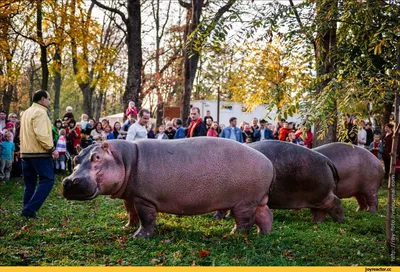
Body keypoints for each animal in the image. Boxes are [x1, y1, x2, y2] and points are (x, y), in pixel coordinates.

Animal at [62, 138, 276, 238]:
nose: (69, 182)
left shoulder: (144, 199)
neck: (125, 159)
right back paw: (263, 234)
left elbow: (146, 219)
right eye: (76, 158)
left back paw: (232, 234)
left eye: (96, 157)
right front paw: (127, 226)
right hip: (256, 201)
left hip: (244, 203)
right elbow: (131, 212)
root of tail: (268, 162)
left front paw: (138, 236)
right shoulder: (130, 196)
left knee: (245, 222)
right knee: (266, 216)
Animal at [217, 140, 346, 223]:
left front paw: (217, 217)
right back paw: (315, 223)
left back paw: (340, 221)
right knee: (319, 211)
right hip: (316, 198)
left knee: (335, 202)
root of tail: (327, 160)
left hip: (321, 195)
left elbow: (222, 208)